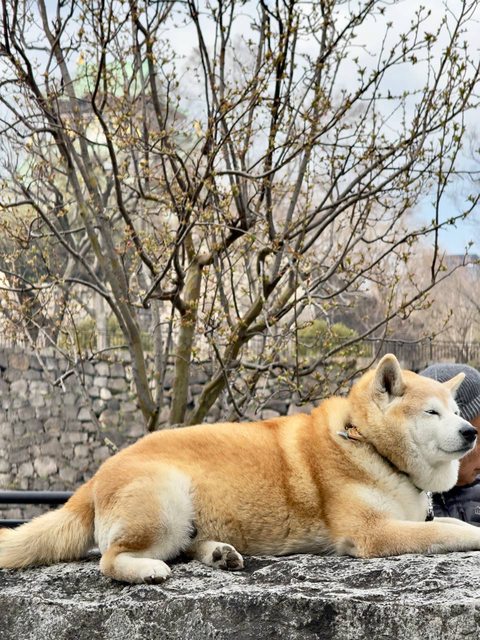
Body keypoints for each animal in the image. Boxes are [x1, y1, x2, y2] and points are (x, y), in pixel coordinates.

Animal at [1, 353, 480, 584]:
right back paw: (146, 570)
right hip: (167, 503)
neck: (368, 444)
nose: (471, 431)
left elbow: (446, 522)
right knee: (111, 558)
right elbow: (444, 532)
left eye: (457, 412)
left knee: (181, 547)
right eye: (432, 413)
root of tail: (97, 475)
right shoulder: (373, 532)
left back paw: (218, 553)